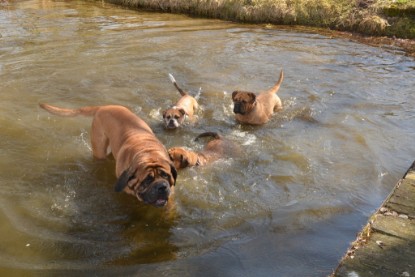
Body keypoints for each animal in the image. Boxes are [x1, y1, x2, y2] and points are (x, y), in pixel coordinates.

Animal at [39, 102, 180, 206]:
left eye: (166, 175)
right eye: (147, 180)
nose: (162, 187)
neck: (148, 152)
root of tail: (103, 107)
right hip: (99, 147)